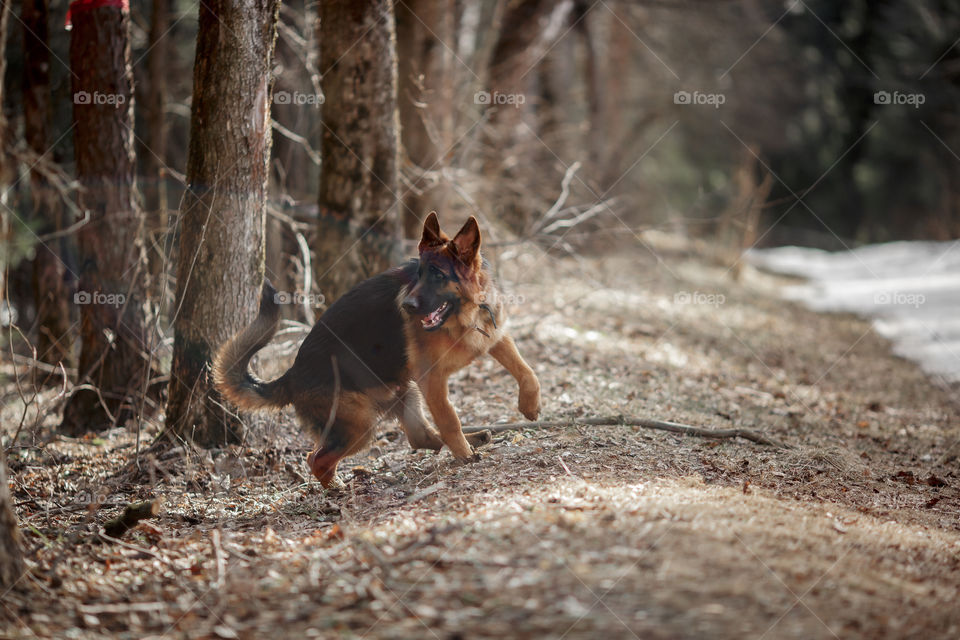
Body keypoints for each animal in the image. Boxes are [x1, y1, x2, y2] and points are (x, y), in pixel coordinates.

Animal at [216, 212, 540, 488]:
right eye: (418, 274)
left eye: (438, 275)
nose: (407, 306)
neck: (464, 313)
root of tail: (291, 375)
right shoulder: (432, 379)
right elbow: (449, 418)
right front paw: (464, 455)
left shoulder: (496, 338)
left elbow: (528, 372)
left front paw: (529, 405)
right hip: (360, 424)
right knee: (315, 458)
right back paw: (337, 489)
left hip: (404, 393)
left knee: (420, 438)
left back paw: (475, 437)